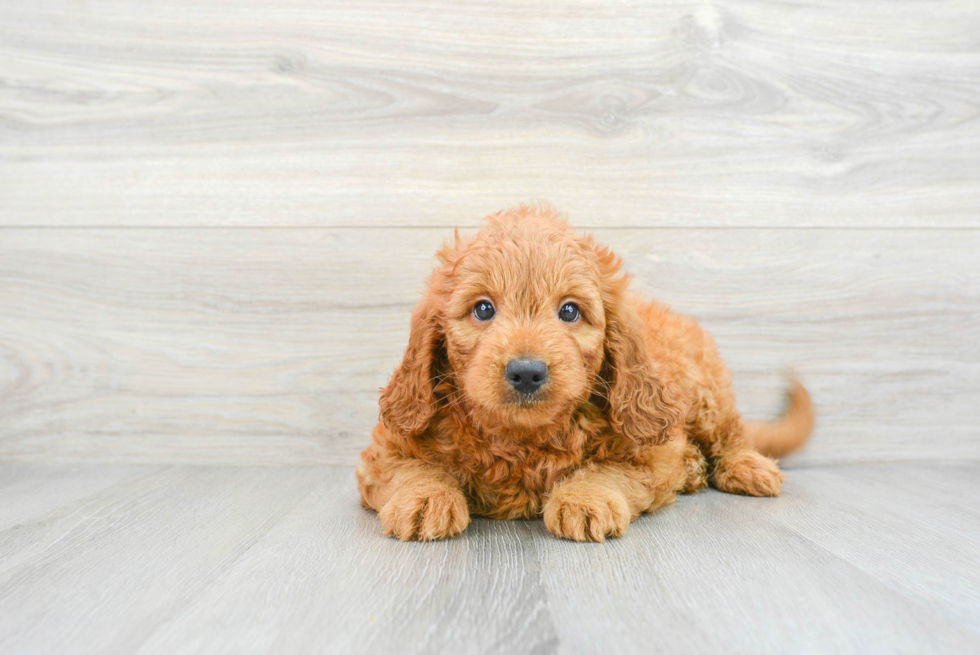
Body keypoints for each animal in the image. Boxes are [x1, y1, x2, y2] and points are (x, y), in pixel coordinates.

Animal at [356, 205, 816, 544]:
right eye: (483, 309)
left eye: (570, 311)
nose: (527, 372)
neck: (523, 440)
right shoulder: (387, 448)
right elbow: (409, 468)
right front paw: (424, 499)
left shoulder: (646, 449)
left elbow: (607, 469)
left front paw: (584, 498)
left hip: (706, 393)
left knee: (730, 434)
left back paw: (744, 467)